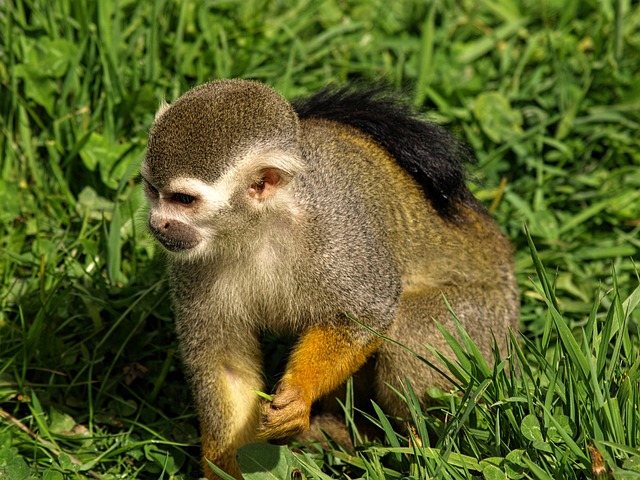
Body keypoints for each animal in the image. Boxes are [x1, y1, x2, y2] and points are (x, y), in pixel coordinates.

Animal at [140, 79, 519, 479]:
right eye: (152, 189)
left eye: (183, 200)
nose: (157, 224)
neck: (257, 227)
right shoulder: (191, 262)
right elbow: (222, 362)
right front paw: (224, 468)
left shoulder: (337, 232)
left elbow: (368, 313)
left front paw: (299, 395)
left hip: (490, 326)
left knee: (411, 330)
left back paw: (422, 451)